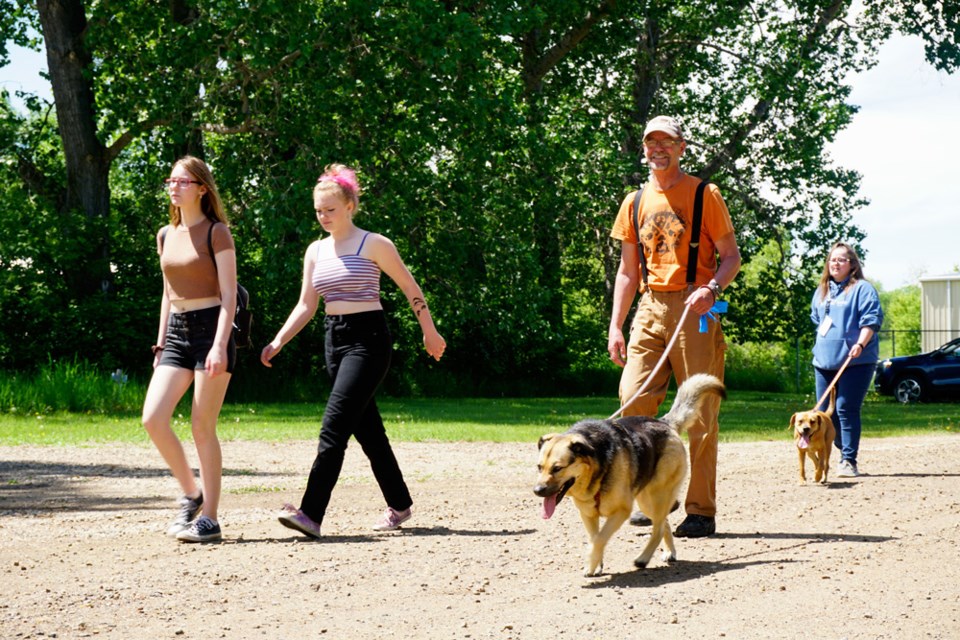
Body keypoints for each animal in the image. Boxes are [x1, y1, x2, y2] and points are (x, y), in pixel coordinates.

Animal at [532, 372, 728, 576]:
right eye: (539, 467)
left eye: (557, 468)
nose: (537, 491)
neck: (596, 470)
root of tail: (664, 423)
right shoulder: (588, 514)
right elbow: (595, 538)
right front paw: (596, 564)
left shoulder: (621, 511)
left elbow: (599, 539)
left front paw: (591, 562)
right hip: (646, 501)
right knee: (663, 523)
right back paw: (669, 552)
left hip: (655, 496)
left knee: (658, 528)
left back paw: (643, 559)